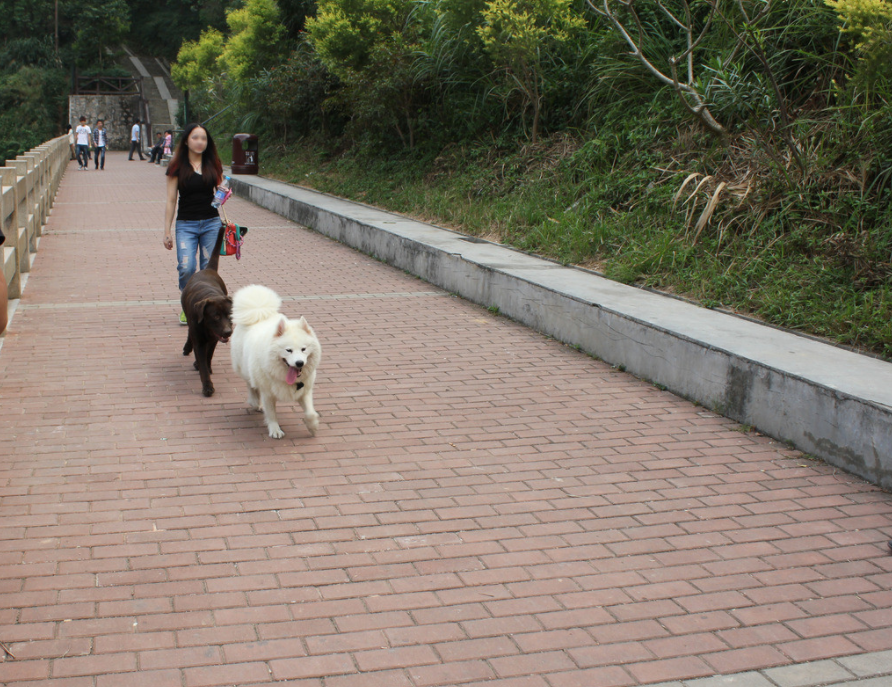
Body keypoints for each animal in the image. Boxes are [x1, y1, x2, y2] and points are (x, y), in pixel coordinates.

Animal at [181, 223, 233, 398]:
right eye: (215, 316)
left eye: (229, 315)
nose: (229, 332)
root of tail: (208, 269)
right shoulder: (199, 339)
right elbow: (202, 361)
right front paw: (207, 386)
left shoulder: (214, 338)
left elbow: (208, 356)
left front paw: (208, 368)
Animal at [232, 284, 322, 440]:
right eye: (288, 350)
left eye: (303, 349)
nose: (299, 363)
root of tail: (258, 312)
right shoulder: (268, 393)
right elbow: (271, 414)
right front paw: (275, 430)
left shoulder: (304, 391)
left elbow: (310, 412)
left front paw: (313, 426)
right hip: (245, 369)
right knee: (250, 385)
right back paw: (255, 402)